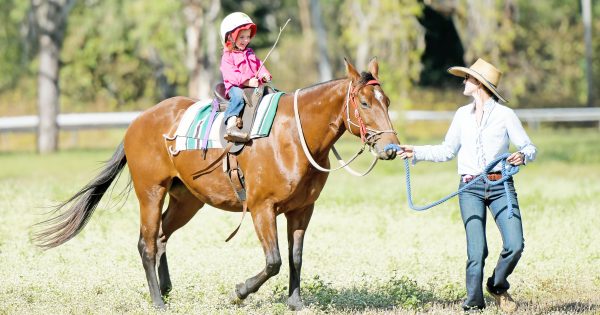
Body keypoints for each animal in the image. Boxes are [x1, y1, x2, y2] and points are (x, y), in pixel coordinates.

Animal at [35, 57, 404, 312]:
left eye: (387, 101)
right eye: (365, 103)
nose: (391, 149)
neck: (292, 137)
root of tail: (138, 121)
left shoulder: (302, 210)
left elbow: (296, 257)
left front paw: (295, 303)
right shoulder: (261, 209)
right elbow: (274, 261)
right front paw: (239, 292)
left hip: (187, 200)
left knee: (162, 236)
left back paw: (166, 289)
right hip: (151, 193)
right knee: (147, 243)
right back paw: (158, 301)